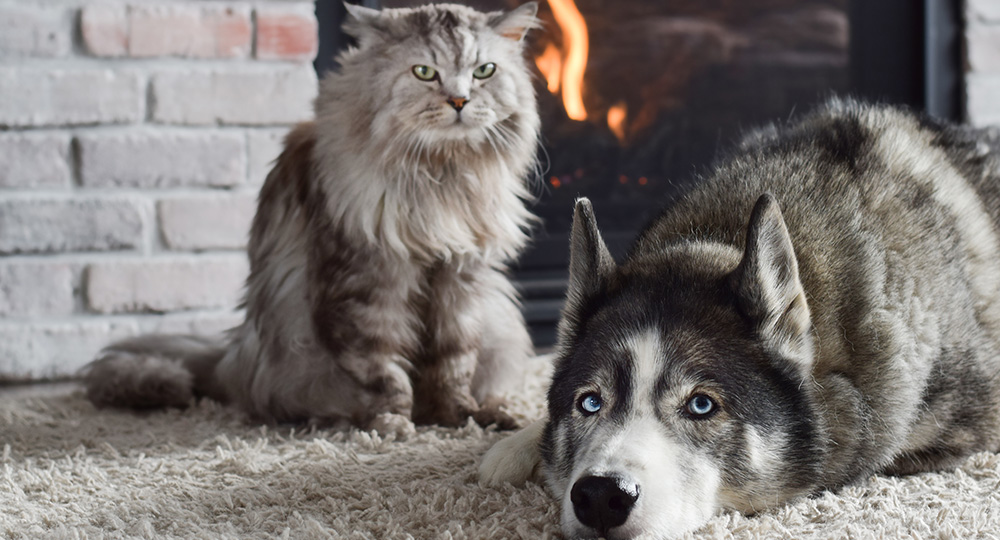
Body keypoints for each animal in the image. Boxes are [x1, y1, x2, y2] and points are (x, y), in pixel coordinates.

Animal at [82, 1, 544, 438]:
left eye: (484, 71)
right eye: (425, 72)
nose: (460, 101)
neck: (441, 175)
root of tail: (233, 355)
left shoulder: (460, 279)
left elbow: (453, 366)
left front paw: (463, 418)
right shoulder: (366, 285)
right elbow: (385, 374)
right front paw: (392, 425)